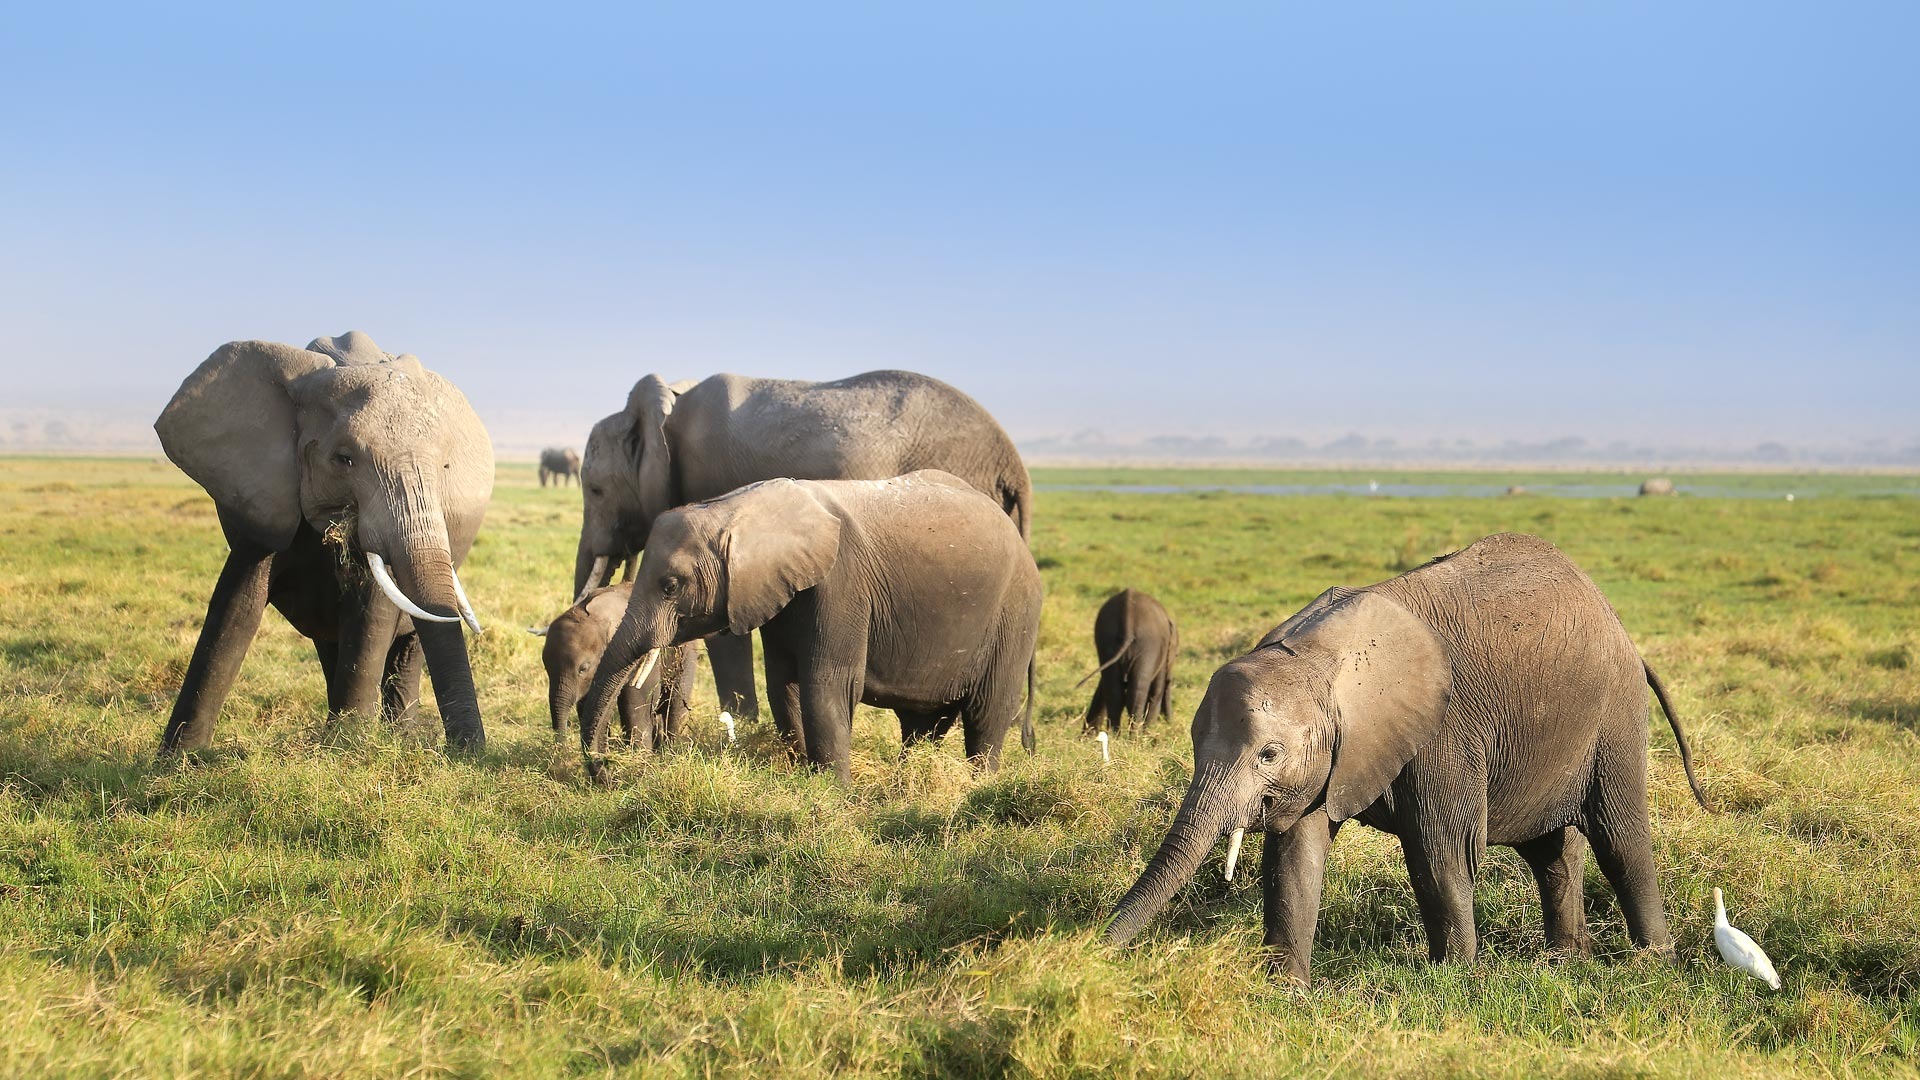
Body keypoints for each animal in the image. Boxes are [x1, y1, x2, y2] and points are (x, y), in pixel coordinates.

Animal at [153, 332, 494, 751]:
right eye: (344, 459)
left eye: (445, 467)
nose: (467, 753)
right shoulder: (264, 497)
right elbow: (237, 604)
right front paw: (179, 758)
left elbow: (372, 612)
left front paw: (351, 746)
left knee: (408, 643)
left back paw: (396, 735)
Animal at [532, 583, 695, 749]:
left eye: (583, 669)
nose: (562, 749)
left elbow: (636, 704)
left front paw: (640, 754)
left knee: (675, 705)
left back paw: (669, 749)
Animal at [578, 471, 1042, 784]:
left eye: (671, 586)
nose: (607, 771)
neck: (737, 508)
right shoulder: (780, 592)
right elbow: (783, 683)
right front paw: (804, 772)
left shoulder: (842, 583)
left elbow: (826, 684)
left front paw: (834, 791)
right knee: (923, 723)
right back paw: (907, 779)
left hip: (1014, 615)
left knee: (986, 713)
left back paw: (977, 785)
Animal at [1076, 589, 1177, 735]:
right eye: (1177, 654)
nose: (1169, 722)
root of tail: (1128, 622)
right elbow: (1156, 691)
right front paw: (1148, 733)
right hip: (1148, 647)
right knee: (1136, 694)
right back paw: (1135, 737)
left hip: (1106, 640)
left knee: (1115, 693)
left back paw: (1115, 735)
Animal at [1103, 533, 1709, 984]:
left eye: (1269, 754)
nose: (1093, 952)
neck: (1321, 657)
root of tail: (1614, 619)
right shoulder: (1333, 759)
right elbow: (1295, 855)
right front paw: (1286, 990)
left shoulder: (1443, 729)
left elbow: (1443, 849)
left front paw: (1455, 980)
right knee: (1551, 851)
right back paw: (1564, 961)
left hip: (1614, 715)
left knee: (1620, 837)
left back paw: (1652, 962)